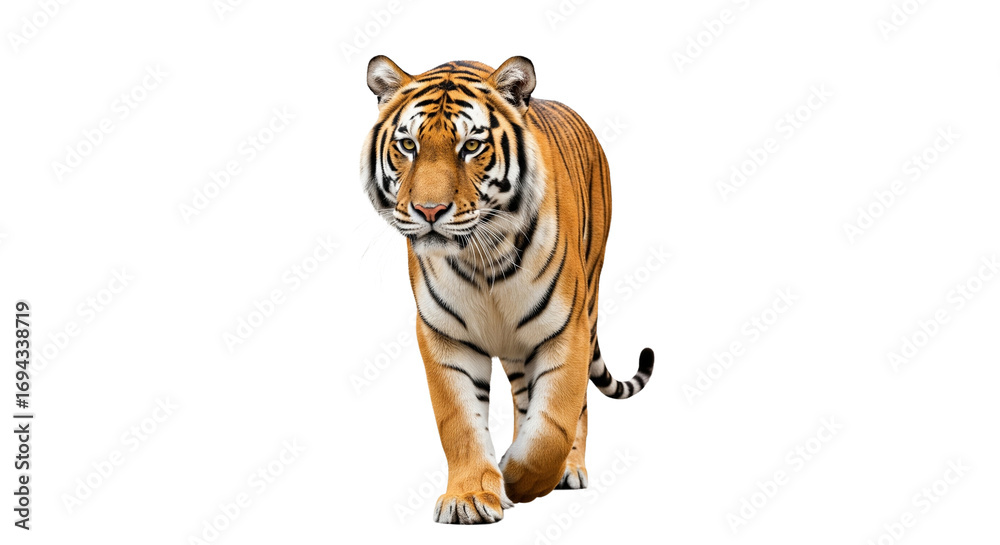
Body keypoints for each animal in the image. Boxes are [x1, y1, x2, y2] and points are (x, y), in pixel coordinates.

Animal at [360, 55, 655, 524]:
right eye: (407, 145)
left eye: (471, 147)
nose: (429, 211)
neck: (482, 259)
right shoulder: (444, 335)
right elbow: (459, 421)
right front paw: (470, 497)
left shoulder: (566, 329)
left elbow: (553, 425)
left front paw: (516, 476)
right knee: (522, 397)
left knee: (575, 407)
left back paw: (569, 469)